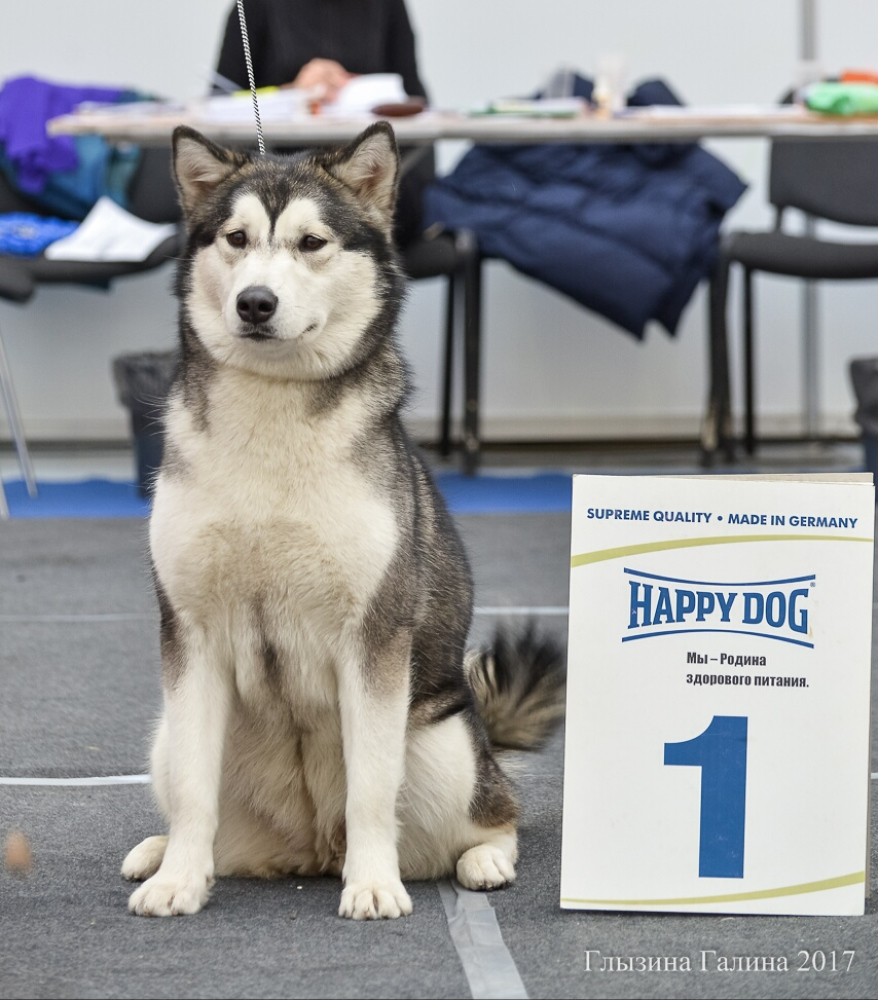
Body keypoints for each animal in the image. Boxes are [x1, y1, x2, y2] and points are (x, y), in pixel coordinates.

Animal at [122, 122, 565, 920]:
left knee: (496, 811)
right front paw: (177, 881)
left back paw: (480, 860)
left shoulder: (373, 637)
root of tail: (311, 850)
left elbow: (371, 790)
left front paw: (375, 885)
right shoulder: (191, 634)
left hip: (447, 744)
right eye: (236, 238)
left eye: (311, 242)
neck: (270, 425)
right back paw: (160, 852)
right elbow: (197, 793)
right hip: (165, 734)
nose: (255, 303)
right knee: (197, 810)